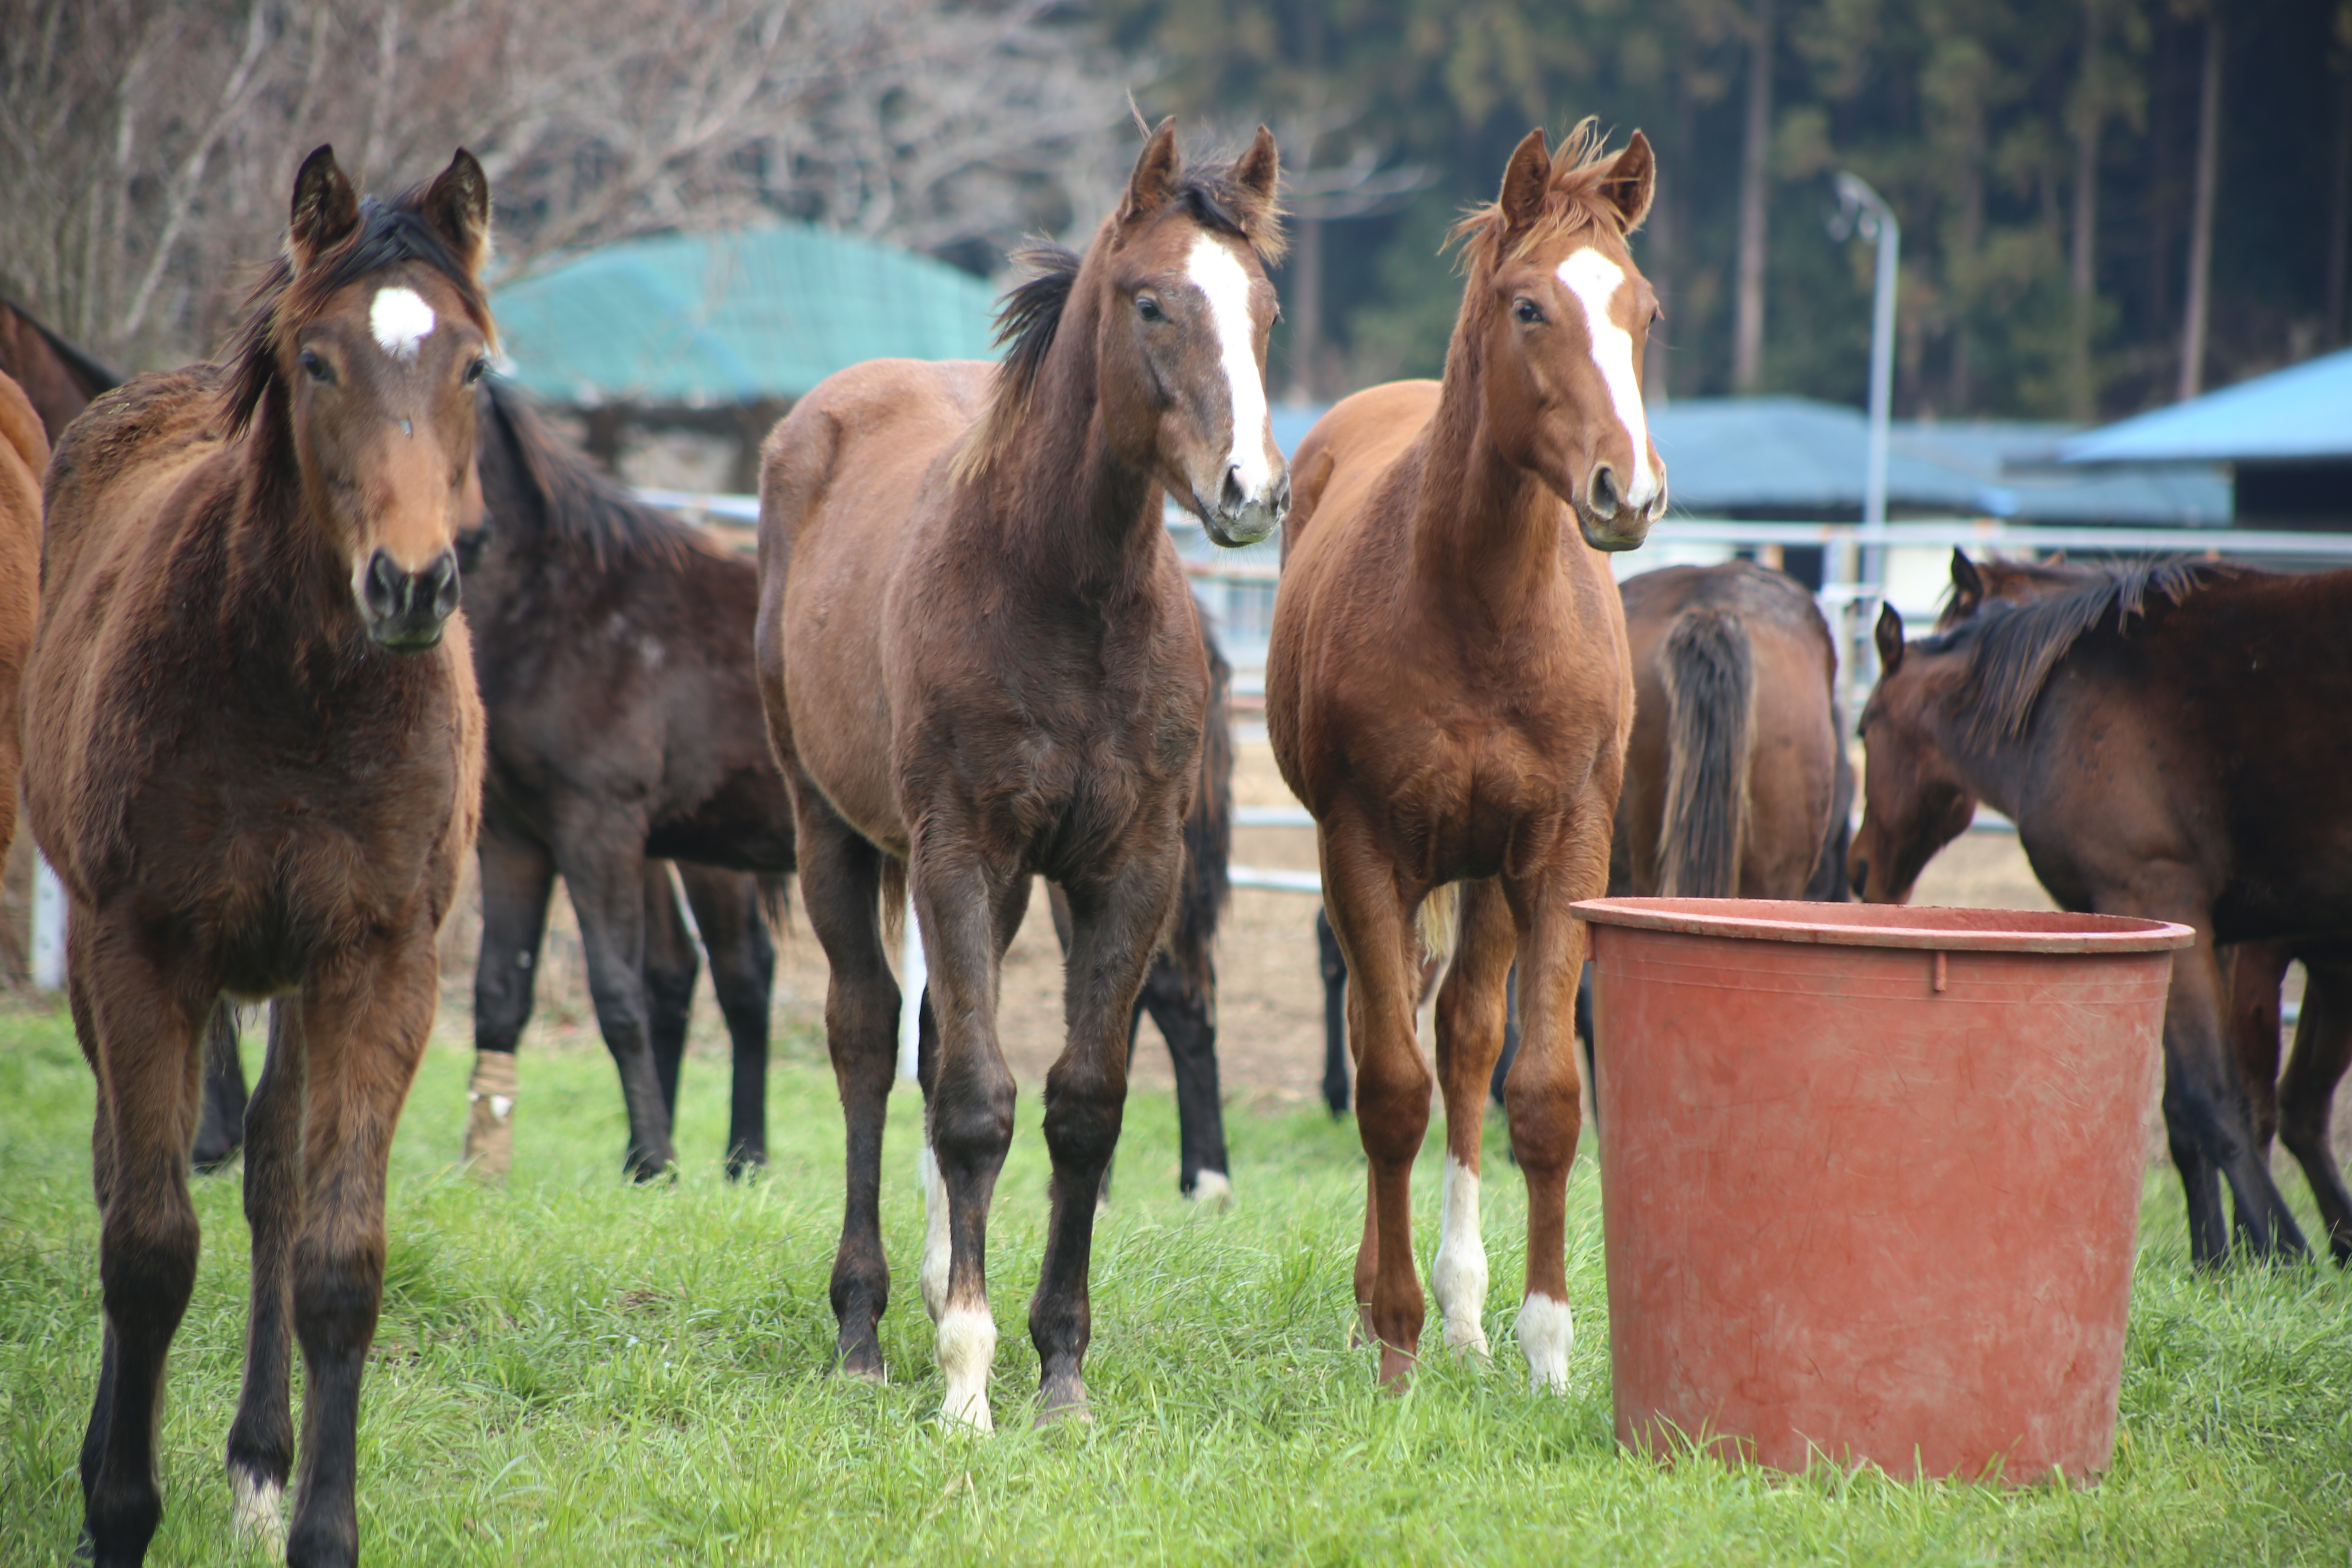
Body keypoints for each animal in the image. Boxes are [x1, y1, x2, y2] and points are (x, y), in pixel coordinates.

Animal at [26, 147, 491, 1568]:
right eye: (318, 362)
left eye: (473, 367)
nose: (412, 584)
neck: (303, 699)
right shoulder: (142, 953)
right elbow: (147, 1250)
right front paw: (118, 1509)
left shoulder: (380, 966)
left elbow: (336, 1258)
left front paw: (317, 1520)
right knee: (127, 1173)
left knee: (278, 1180)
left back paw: (257, 1457)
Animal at [757, 116, 1289, 1429]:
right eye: (1152, 303)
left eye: (1262, 307)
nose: (1252, 493)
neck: (1066, 592)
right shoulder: (959, 848)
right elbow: (974, 1101)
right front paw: (965, 1376)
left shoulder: (1127, 867)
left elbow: (1081, 1107)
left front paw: (1057, 1371)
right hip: (833, 831)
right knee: (867, 1039)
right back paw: (864, 1323)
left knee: (937, 1033)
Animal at [1270, 126, 1675, 1401]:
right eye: (1528, 306)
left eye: (1643, 311)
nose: (1627, 492)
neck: (1483, 609)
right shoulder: (1361, 846)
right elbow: (1388, 1093)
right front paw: (1393, 1338)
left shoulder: (1561, 850)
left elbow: (1537, 1092)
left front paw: (1546, 1347)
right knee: (1389, 1043)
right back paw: (1394, 1310)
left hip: (1490, 877)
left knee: (1462, 1043)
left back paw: (1466, 1313)